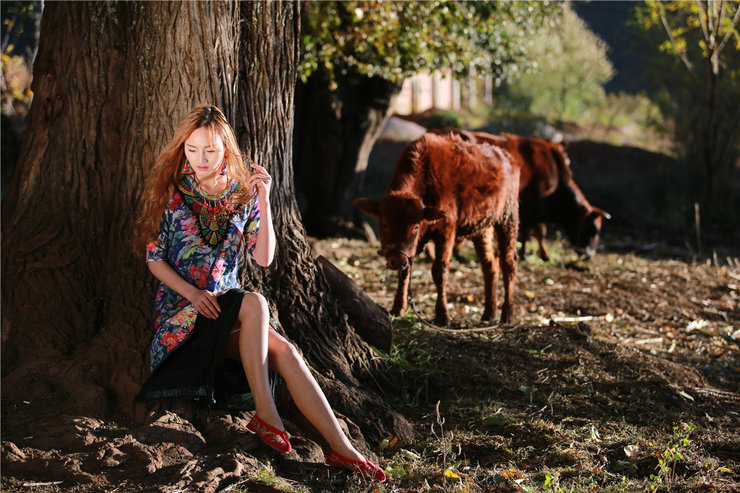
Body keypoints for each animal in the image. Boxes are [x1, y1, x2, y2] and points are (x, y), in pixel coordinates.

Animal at [354, 129, 516, 324]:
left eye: (415, 227)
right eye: (384, 223)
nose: (395, 261)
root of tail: (506, 156)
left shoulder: (445, 232)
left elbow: (440, 271)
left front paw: (442, 315)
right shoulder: (411, 248)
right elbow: (406, 271)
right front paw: (398, 307)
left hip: (508, 219)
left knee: (508, 263)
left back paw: (507, 314)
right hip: (482, 228)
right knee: (490, 264)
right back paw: (488, 313)